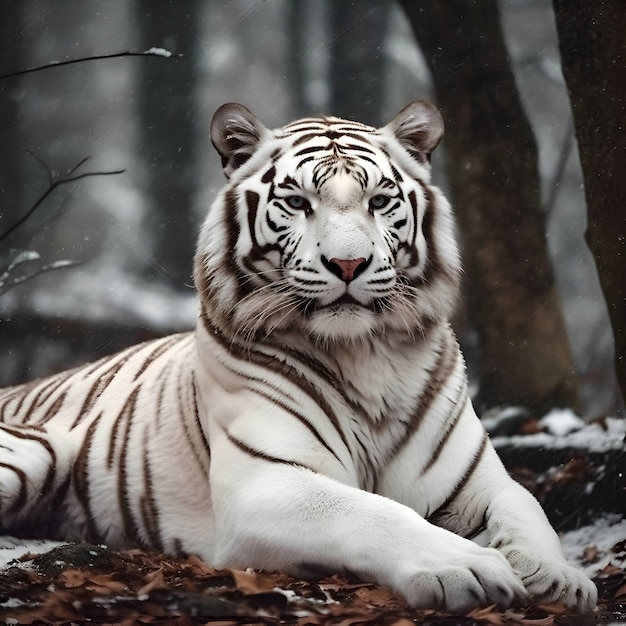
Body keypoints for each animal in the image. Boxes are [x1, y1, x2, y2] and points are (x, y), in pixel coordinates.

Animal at [0, 100, 596, 612]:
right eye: (297, 202)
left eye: (379, 201)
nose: (348, 264)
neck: (365, 353)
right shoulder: (267, 482)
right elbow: (373, 512)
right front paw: (465, 567)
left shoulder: (479, 482)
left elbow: (528, 510)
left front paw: (559, 579)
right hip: (33, 452)